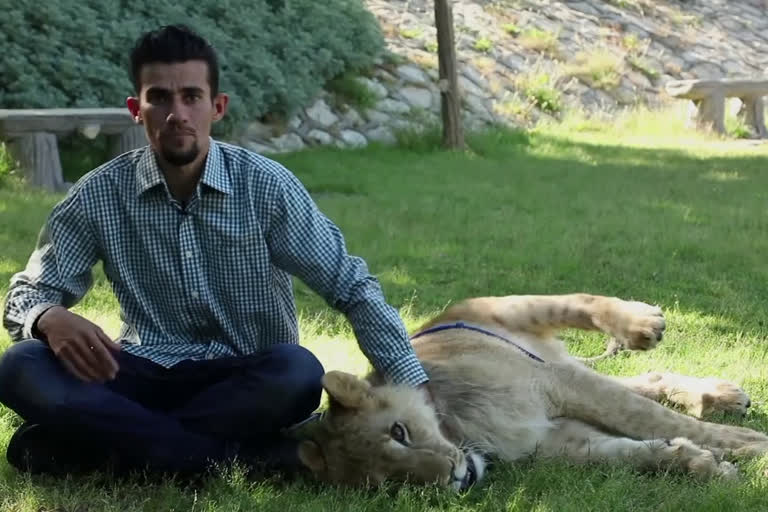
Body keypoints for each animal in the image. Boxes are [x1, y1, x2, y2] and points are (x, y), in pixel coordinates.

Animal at [294, 292, 768, 488]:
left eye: (399, 432)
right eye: (389, 483)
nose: (456, 478)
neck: (461, 430)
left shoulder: (556, 383)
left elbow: (650, 419)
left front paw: (751, 445)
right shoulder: (557, 439)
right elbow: (632, 451)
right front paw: (702, 465)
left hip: (515, 312)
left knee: (583, 303)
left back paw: (641, 324)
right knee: (650, 380)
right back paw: (720, 396)